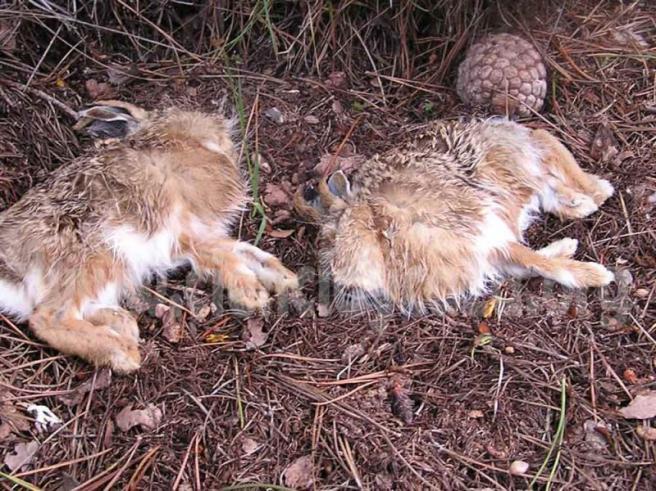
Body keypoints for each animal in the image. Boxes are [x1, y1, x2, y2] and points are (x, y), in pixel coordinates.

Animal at [0, 100, 298, 373]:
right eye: (182, 117)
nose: (221, 131)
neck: (165, 142)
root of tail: (10, 272)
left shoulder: (200, 237)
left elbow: (245, 251)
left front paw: (284, 278)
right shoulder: (186, 234)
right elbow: (228, 258)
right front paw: (253, 294)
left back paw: (122, 325)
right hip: (93, 257)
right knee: (48, 318)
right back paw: (121, 353)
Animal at [295, 118, 615, 313]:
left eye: (335, 241)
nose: (338, 282)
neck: (380, 230)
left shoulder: (482, 234)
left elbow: (542, 264)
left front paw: (598, 275)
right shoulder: (491, 257)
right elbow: (534, 264)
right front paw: (568, 248)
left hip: (516, 157)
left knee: (546, 142)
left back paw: (600, 190)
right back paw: (579, 205)